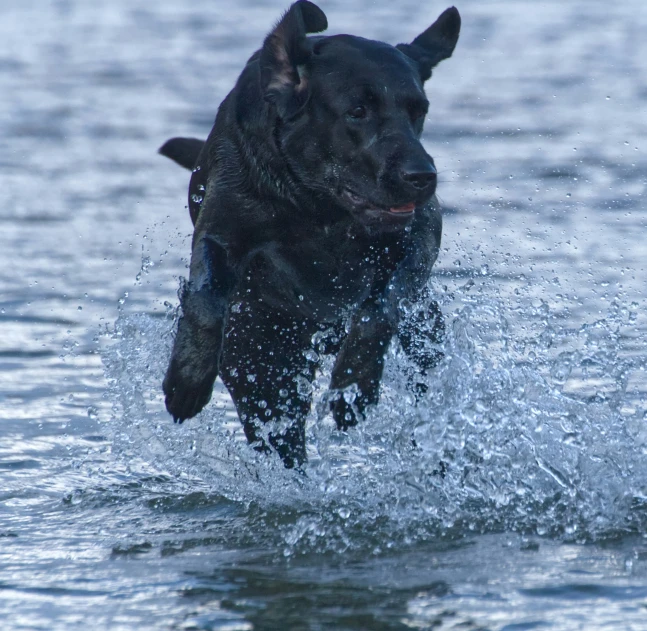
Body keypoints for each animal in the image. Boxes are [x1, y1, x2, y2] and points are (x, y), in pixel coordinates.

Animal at [161, 1, 460, 470]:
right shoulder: (223, 229)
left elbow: (381, 307)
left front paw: (354, 384)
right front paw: (187, 378)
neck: (317, 207)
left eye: (418, 111)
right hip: (263, 370)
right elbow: (206, 294)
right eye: (357, 111)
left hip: (424, 341)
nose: (422, 176)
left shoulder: (419, 237)